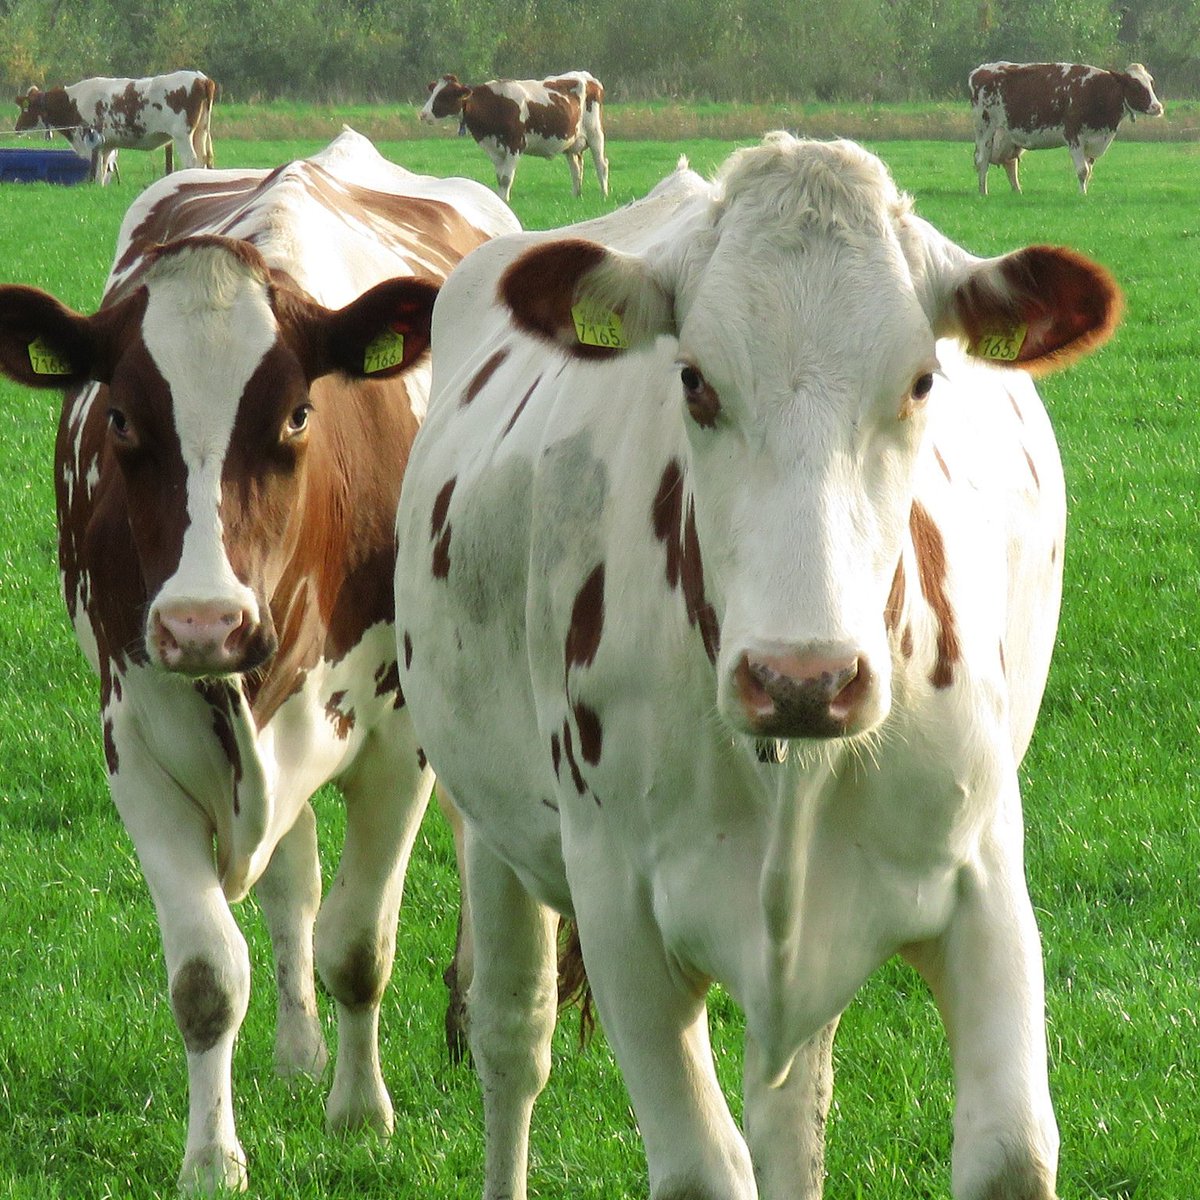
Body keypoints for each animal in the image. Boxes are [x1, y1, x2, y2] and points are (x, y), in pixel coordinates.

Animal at [0, 128, 518, 1193]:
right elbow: (210, 972)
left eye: (297, 416)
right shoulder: (137, 747)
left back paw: (458, 1013)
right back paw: (298, 1053)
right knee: (292, 887)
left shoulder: (395, 747)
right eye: (121, 420)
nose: (205, 624)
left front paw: (361, 1117)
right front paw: (213, 1154)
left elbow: (360, 945)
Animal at [14, 70, 218, 185]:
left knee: (191, 160)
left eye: (25, 108)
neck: (73, 102)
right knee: (204, 159)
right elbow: (105, 169)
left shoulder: (91, 140)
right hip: (201, 131)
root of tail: (201, 78)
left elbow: (97, 168)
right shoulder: (107, 144)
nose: (16, 128)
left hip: (182, 135)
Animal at [393, 132, 1123, 1200]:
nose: (800, 679)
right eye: (695, 380)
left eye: (922, 381)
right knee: (510, 1039)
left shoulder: (986, 875)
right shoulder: (619, 909)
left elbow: (1009, 1153)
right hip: (493, 827)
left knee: (790, 1112)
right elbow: (702, 1165)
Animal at [419, 70, 609, 203]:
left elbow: (505, 178)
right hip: (571, 142)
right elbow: (499, 177)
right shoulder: (493, 149)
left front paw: (505, 201)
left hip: (595, 133)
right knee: (576, 168)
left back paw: (604, 195)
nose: (423, 114)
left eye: (444, 95)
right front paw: (500, 200)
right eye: (433, 92)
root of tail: (586, 76)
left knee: (601, 164)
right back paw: (577, 195)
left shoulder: (515, 144)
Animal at [969, 60, 1164, 195]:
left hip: (1008, 137)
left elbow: (1089, 171)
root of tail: (979, 70)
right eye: (1135, 85)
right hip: (985, 130)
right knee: (982, 161)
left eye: (1151, 83)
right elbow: (1082, 171)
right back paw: (983, 192)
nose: (1158, 107)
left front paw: (1084, 192)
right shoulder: (1074, 135)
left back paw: (1018, 192)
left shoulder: (1093, 141)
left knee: (1010, 164)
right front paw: (1082, 195)